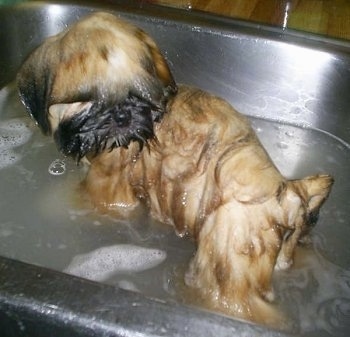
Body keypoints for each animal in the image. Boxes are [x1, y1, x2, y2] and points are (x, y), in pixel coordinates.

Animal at [17, 12, 334, 326]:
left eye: (136, 94)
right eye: (89, 97)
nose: (123, 116)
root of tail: (286, 195)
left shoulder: (108, 187)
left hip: (227, 262)